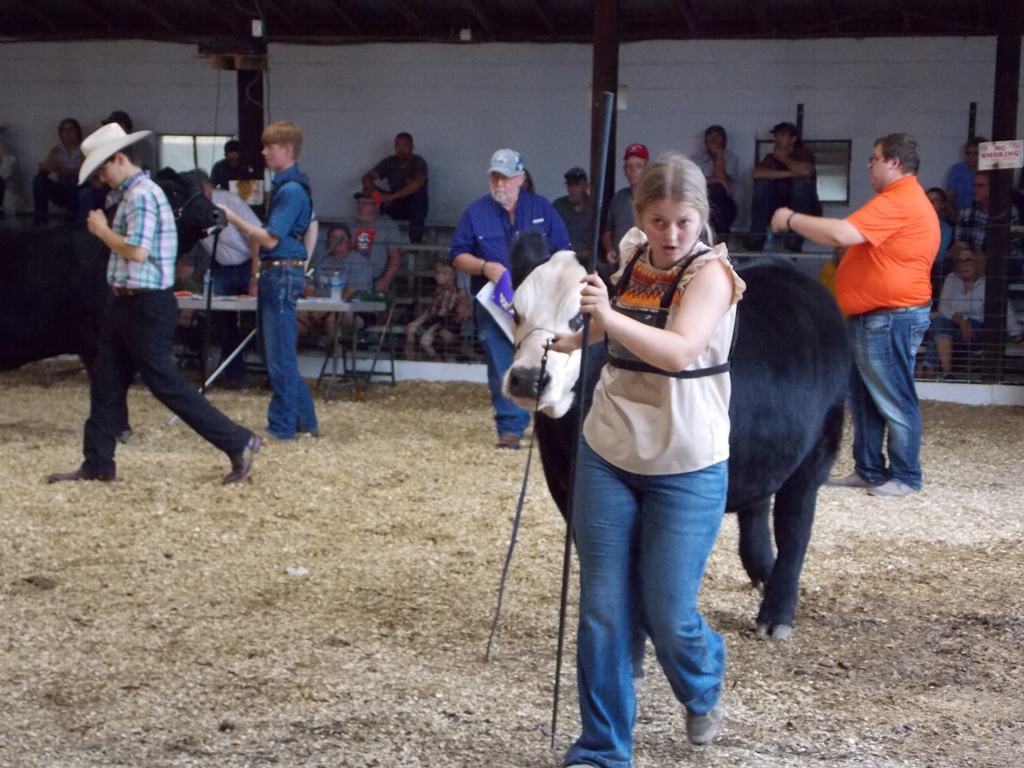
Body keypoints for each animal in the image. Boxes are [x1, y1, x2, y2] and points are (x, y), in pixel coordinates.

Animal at [504, 245, 851, 639]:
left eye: (580, 318)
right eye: (516, 312)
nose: (527, 379)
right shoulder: (563, 480)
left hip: (819, 447)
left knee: (796, 523)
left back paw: (776, 613)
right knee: (758, 504)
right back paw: (762, 569)